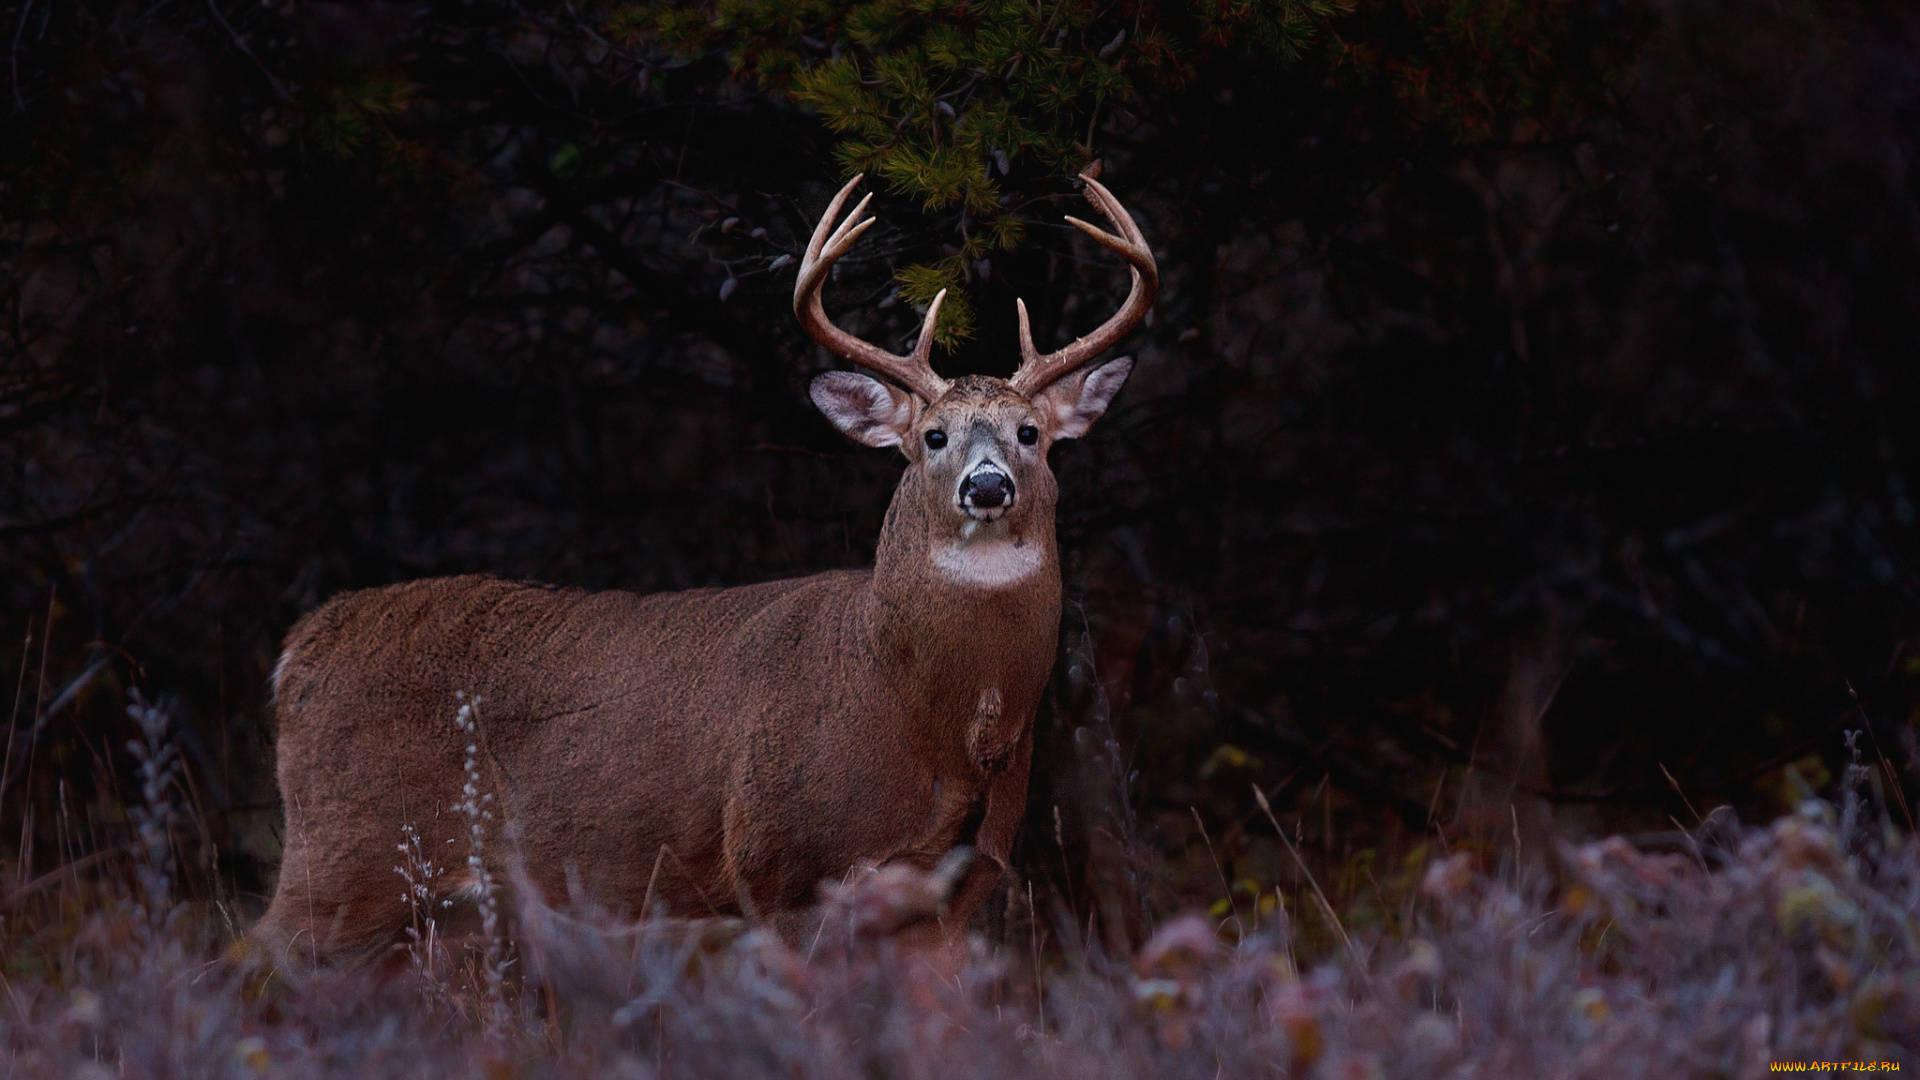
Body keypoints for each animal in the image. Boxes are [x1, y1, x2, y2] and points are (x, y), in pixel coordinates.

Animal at [253, 171, 1152, 960]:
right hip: (342, 856)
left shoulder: (955, 898)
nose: (988, 485)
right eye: (933, 437)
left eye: (1031, 433)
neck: (917, 708)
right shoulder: (782, 868)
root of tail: (300, 646)